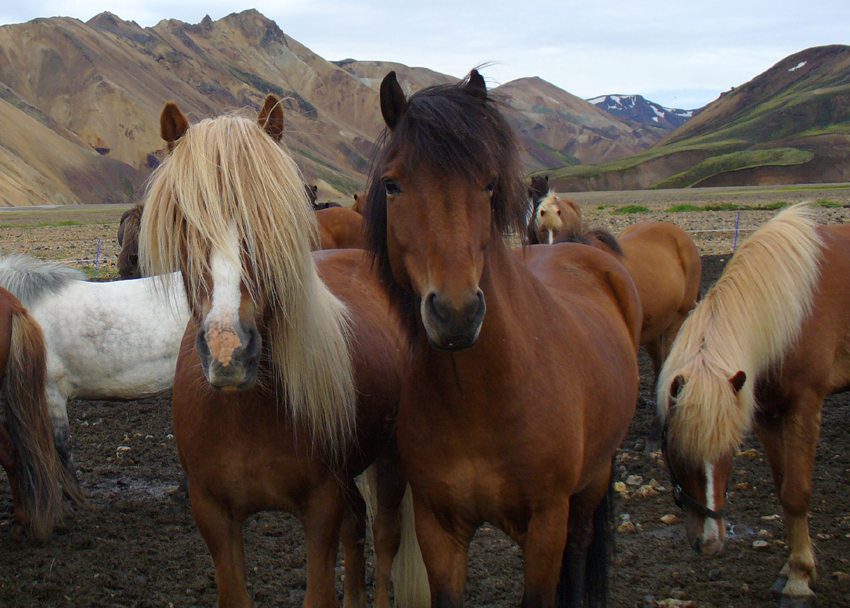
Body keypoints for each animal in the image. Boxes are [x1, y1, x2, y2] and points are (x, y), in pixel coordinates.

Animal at [138, 96, 427, 608]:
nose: (228, 351)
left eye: (269, 217)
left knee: (385, 535)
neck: (243, 412)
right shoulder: (213, 516)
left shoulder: (320, 508)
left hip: (391, 460)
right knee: (358, 526)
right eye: (186, 222)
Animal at [364, 69, 641, 607]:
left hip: (593, 479)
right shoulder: (438, 528)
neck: (480, 396)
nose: (456, 314)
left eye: (489, 183)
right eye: (392, 185)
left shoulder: (547, 523)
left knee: (580, 547)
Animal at [656, 203, 850, 608]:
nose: (709, 543)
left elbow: (797, 492)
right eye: (675, 451)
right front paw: (790, 567)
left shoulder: (804, 407)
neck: (790, 314)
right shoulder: (766, 415)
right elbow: (782, 487)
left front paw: (799, 579)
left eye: (729, 450)